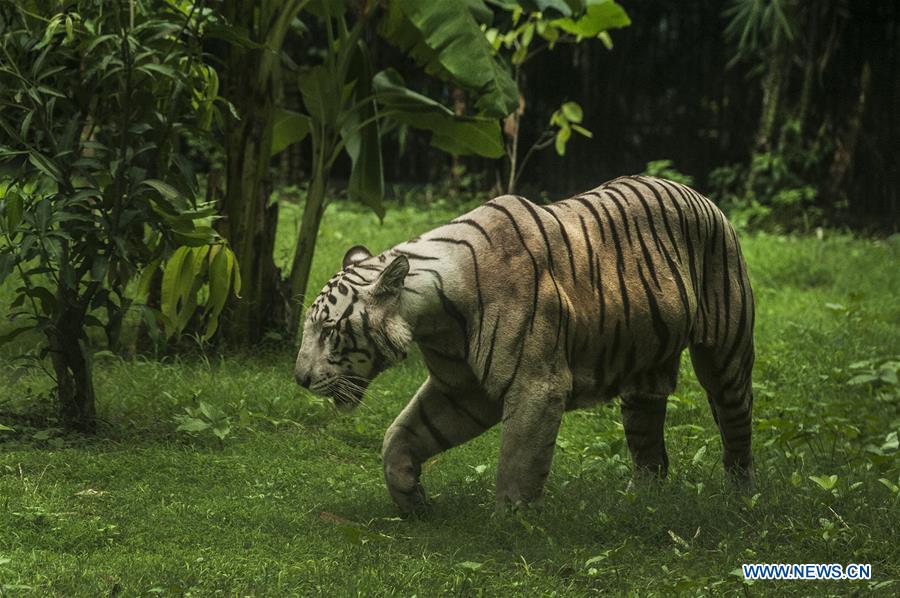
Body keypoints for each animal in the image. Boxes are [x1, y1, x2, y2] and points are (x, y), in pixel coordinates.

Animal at [294, 175, 755, 512]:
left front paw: (510, 526)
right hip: (643, 370)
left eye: (329, 330)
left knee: (736, 421)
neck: (431, 319)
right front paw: (410, 498)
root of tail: (697, 192)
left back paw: (738, 496)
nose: (299, 379)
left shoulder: (536, 386)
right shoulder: (462, 389)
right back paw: (641, 500)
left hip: (726, 353)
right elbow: (400, 436)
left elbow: (518, 462)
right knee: (650, 445)